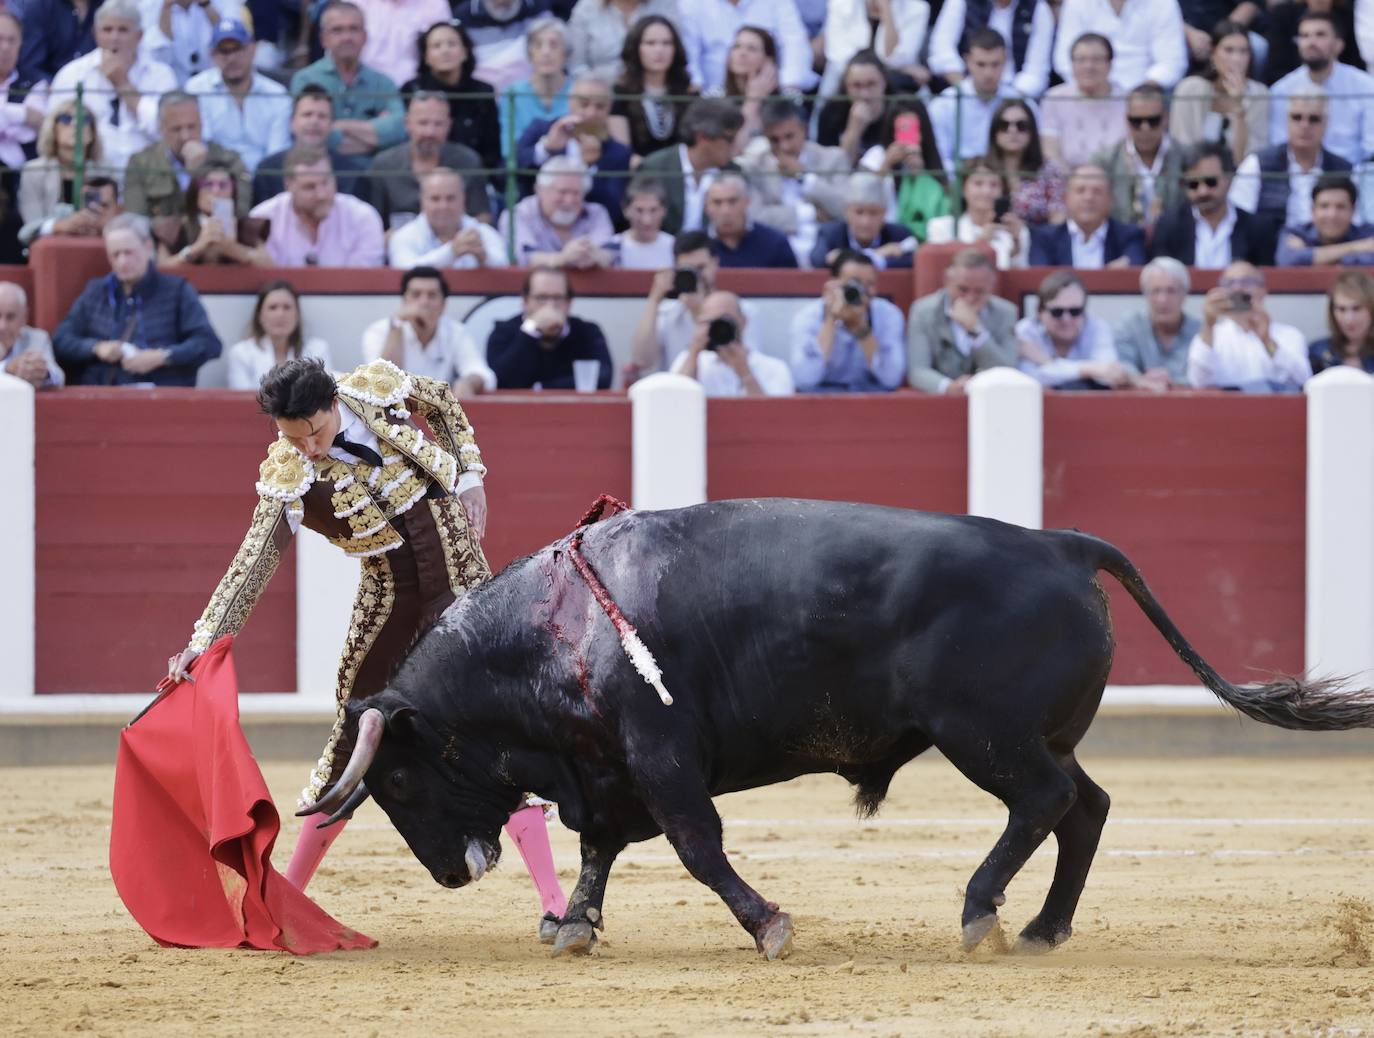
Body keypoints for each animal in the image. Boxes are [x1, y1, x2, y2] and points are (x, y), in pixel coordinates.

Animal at [300, 500, 1374, 962]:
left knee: (1047, 802)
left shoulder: (659, 756)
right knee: (1087, 807)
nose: (449, 874)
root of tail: (1063, 543)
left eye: (397, 782)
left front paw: (769, 924)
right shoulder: (606, 767)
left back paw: (981, 913)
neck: (549, 630)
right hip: (1038, 734)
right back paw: (1041, 927)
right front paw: (574, 927)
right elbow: (601, 846)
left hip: (985, 737)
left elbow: (695, 845)